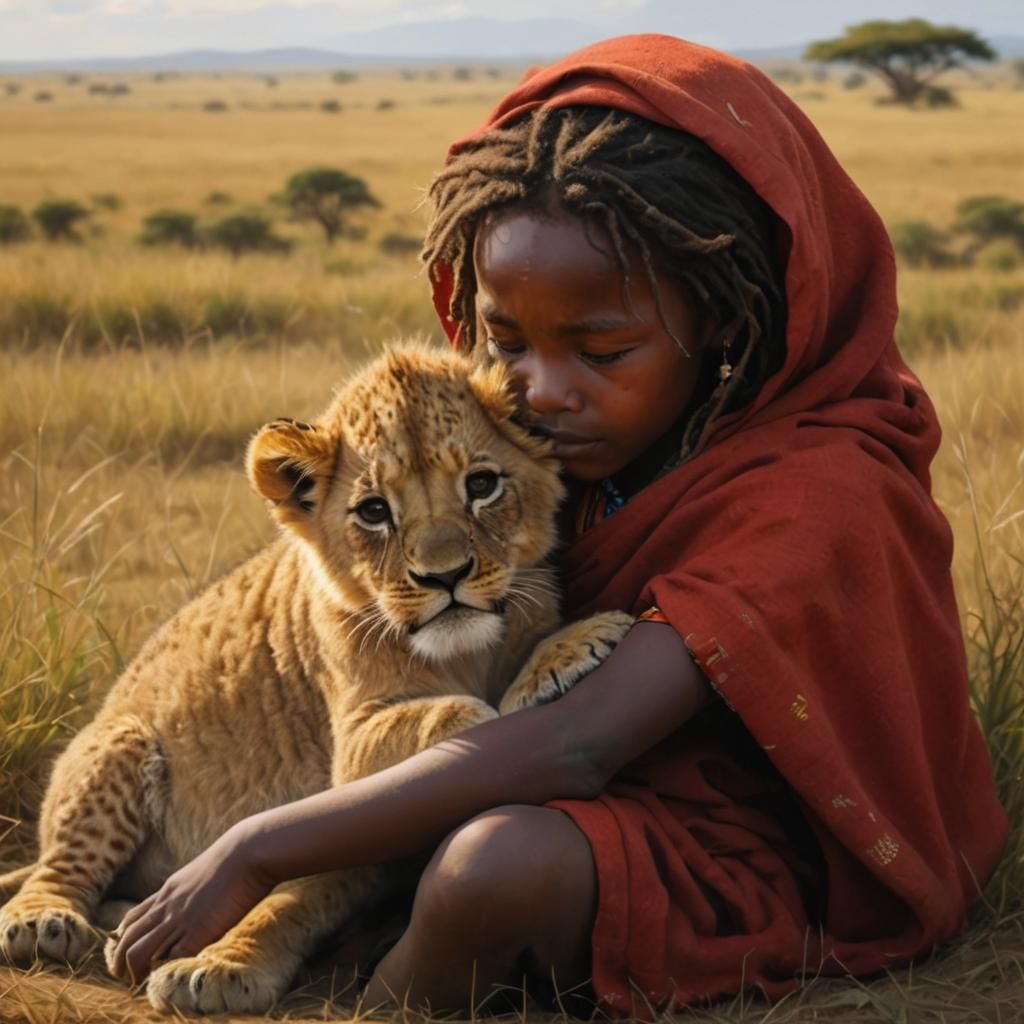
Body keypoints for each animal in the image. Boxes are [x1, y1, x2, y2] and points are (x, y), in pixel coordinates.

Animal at [0, 342, 632, 1014]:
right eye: (375, 511)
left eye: (481, 485)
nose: (446, 576)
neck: (465, 652)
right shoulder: (353, 747)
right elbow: (452, 711)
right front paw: (502, 708)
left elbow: (295, 895)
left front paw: (573, 646)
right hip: (120, 742)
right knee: (60, 866)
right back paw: (45, 920)